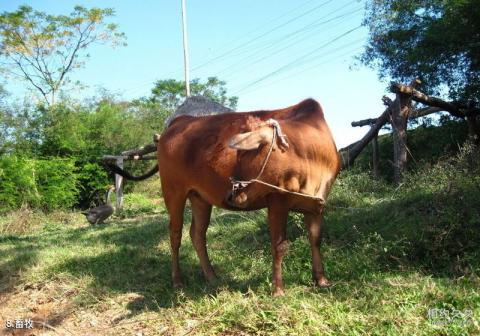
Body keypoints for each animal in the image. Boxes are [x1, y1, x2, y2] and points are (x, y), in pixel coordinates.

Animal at [109, 98, 342, 296]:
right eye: (240, 154)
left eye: (249, 152)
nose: (232, 195)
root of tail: (177, 123)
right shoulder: (277, 200)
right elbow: (280, 245)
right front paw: (278, 290)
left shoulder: (317, 204)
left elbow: (316, 239)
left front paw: (322, 280)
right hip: (173, 191)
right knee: (175, 235)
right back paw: (177, 280)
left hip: (200, 198)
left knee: (197, 234)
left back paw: (211, 276)